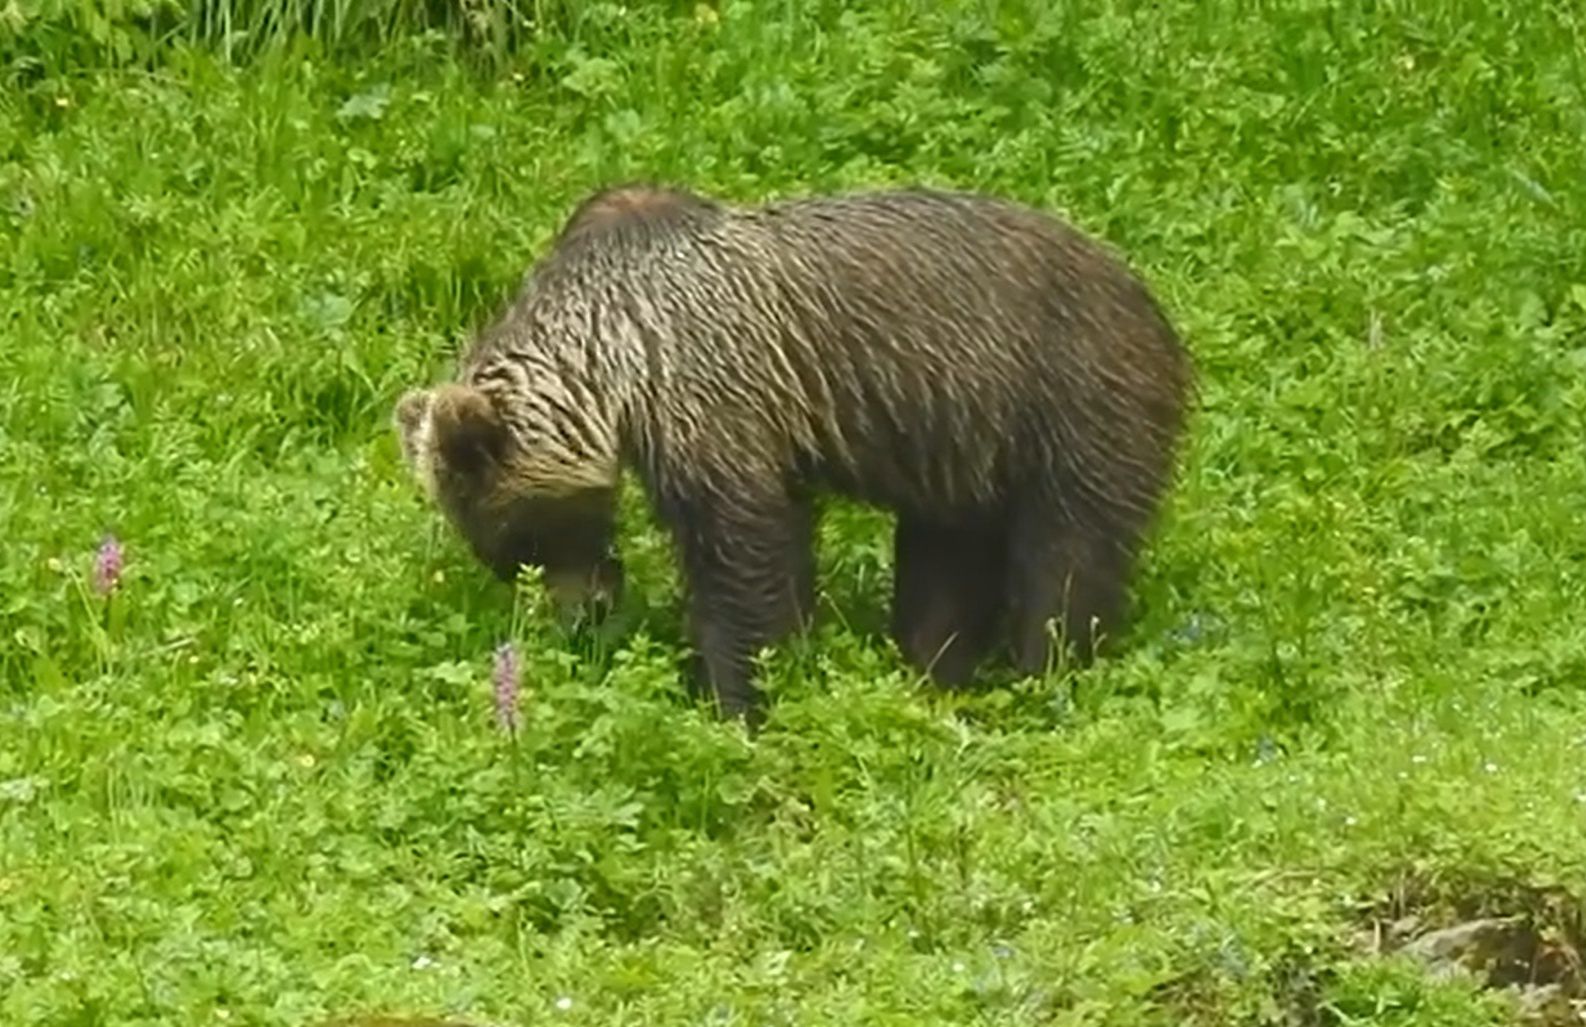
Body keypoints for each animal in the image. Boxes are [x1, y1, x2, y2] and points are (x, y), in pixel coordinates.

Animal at [393, 182, 1192, 722]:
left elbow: (741, 551)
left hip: (1071, 395)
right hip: (964, 447)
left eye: (518, 537)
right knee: (947, 560)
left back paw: (1040, 671)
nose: (583, 612)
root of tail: (1157, 308)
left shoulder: (711, 391)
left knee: (1068, 554)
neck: (614, 357)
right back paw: (932, 667)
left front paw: (736, 696)